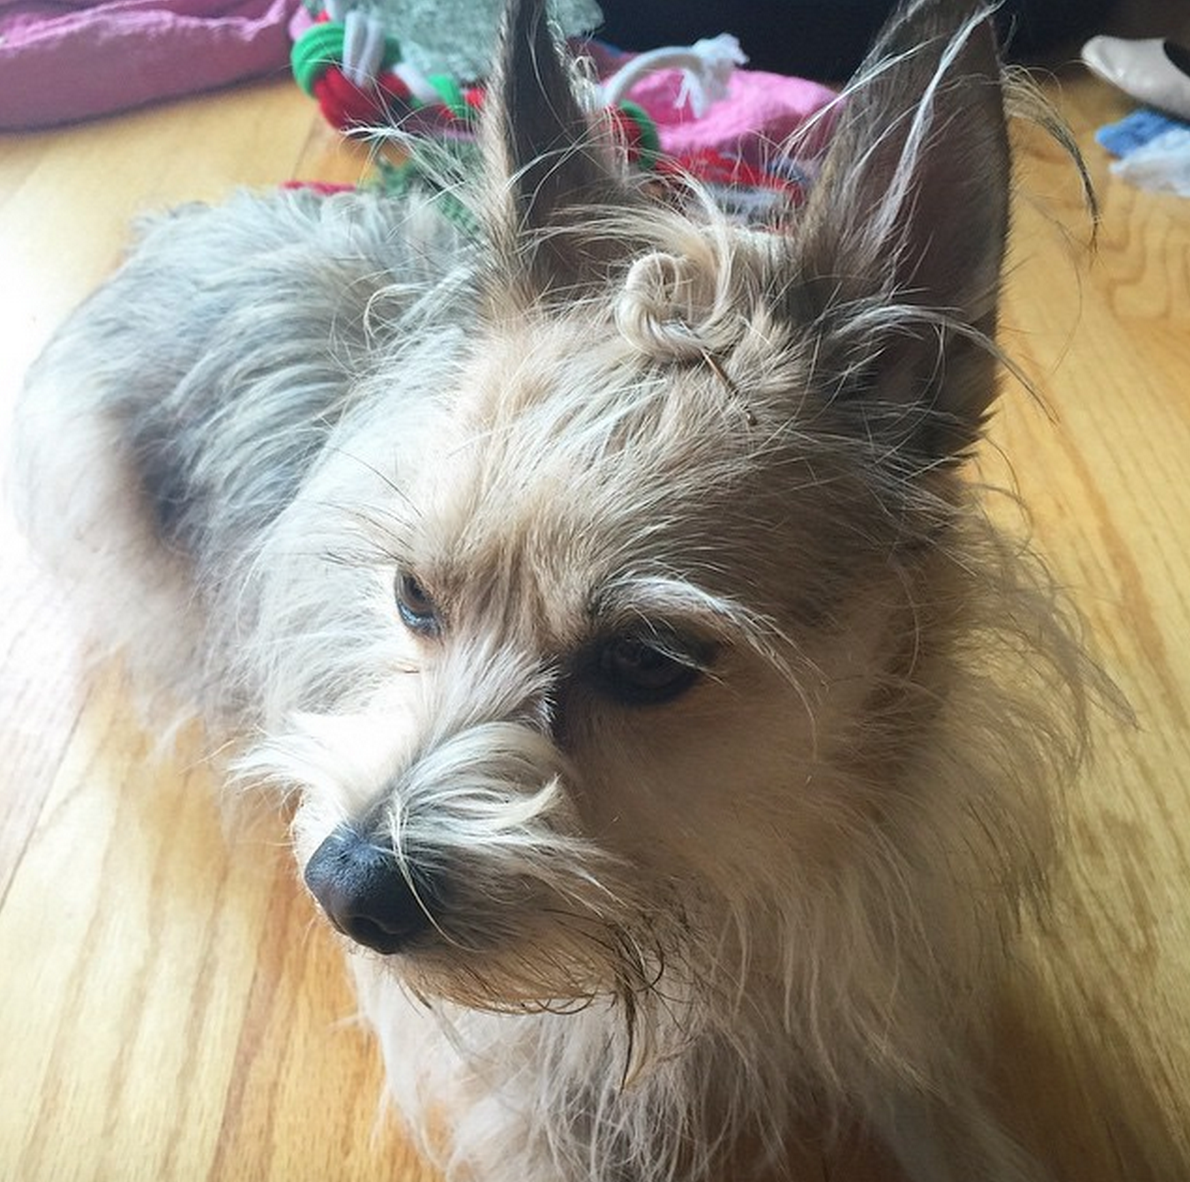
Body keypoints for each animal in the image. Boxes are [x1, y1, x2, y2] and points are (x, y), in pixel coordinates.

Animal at [12, 0, 1095, 1178]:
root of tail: (181, 228)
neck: (728, 881)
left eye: (648, 663)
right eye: (412, 598)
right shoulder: (521, 1100)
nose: (342, 886)